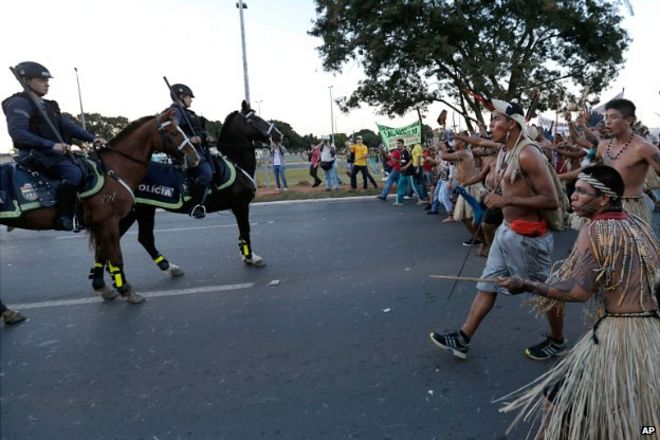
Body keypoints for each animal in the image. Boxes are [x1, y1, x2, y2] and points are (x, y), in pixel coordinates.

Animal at [1, 108, 200, 304]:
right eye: (173, 132)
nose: (195, 157)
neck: (113, 171)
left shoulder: (101, 224)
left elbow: (101, 253)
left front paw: (104, 286)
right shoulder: (108, 222)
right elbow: (116, 257)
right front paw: (126, 290)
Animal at [90, 102, 282, 296]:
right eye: (256, 119)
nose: (278, 135)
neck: (235, 163)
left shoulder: (238, 207)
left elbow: (242, 233)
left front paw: (246, 256)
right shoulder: (240, 205)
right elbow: (245, 230)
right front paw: (251, 258)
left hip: (142, 211)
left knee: (138, 239)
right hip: (128, 214)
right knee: (113, 243)